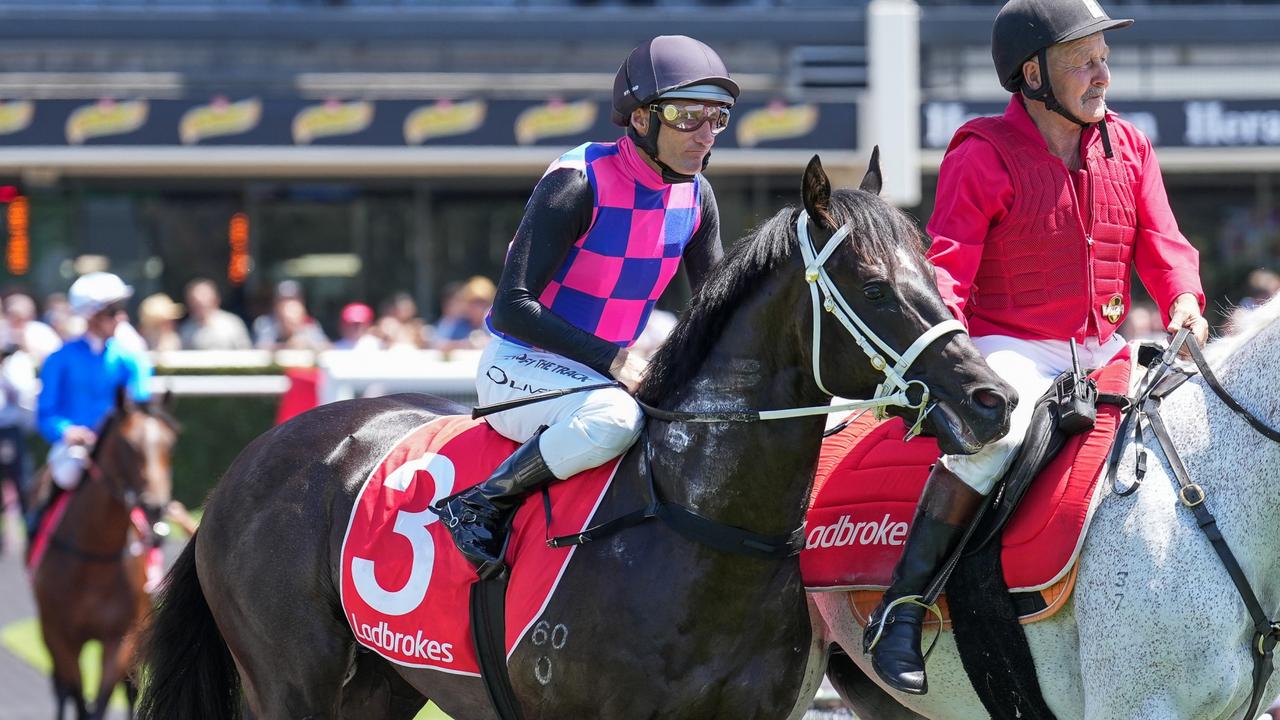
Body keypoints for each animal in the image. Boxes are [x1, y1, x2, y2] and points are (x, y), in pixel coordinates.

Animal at [31, 386, 177, 717]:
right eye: (128, 443)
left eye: (170, 443)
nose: (155, 506)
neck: (95, 557)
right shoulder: (60, 635)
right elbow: (77, 696)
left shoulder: (121, 638)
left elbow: (102, 700)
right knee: (61, 687)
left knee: (130, 688)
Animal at [140, 152, 1013, 717]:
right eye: (876, 286)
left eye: (937, 276)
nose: (992, 400)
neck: (700, 528)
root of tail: (247, 465)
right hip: (293, 683)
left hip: (379, 687)